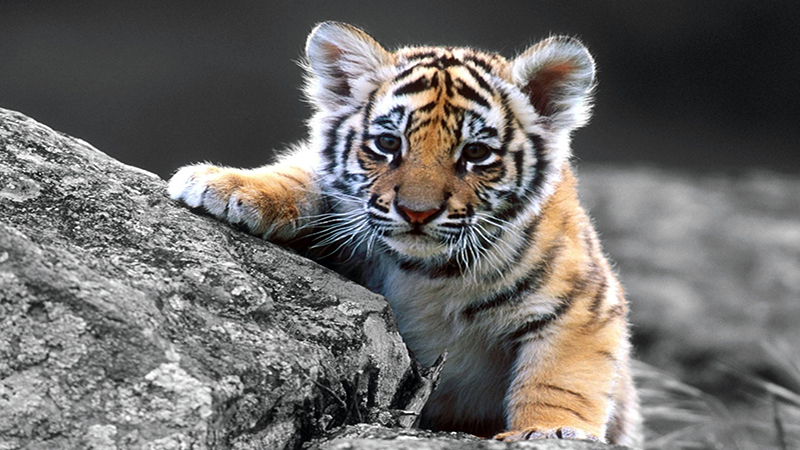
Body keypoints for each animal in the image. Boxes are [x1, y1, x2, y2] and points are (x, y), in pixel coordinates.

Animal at [168, 21, 642, 446]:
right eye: (388, 144)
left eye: (475, 153)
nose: (417, 212)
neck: (427, 272)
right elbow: (302, 176)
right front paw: (223, 184)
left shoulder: (584, 306)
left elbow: (560, 380)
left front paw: (549, 430)